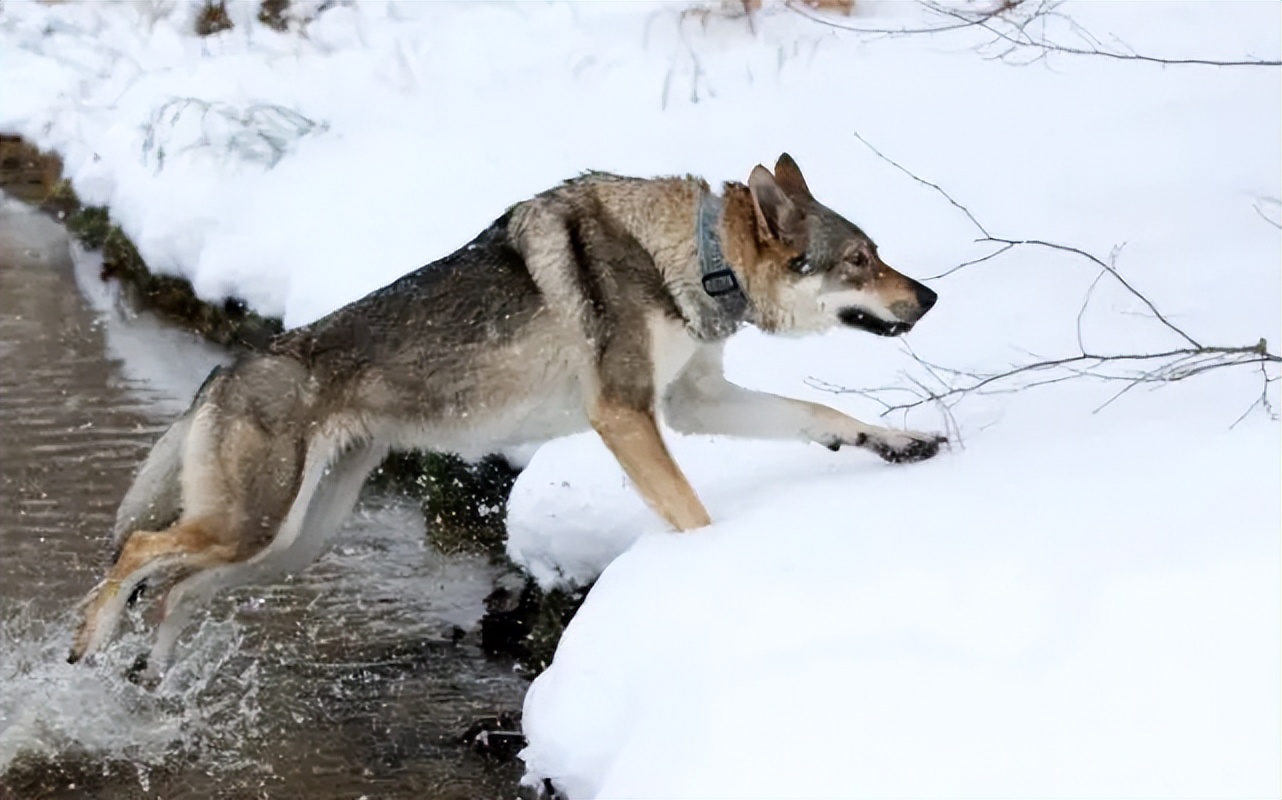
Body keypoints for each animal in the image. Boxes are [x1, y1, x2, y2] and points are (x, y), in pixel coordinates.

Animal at [70, 154, 948, 676]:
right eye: (860, 261)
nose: (932, 297)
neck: (694, 261)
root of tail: (226, 368)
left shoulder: (694, 403)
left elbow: (817, 411)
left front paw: (900, 441)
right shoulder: (625, 416)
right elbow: (693, 512)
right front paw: (712, 571)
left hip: (288, 544)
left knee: (175, 590)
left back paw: (154, 679)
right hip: (256, 528)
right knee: (137, 553)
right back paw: (91, 640)